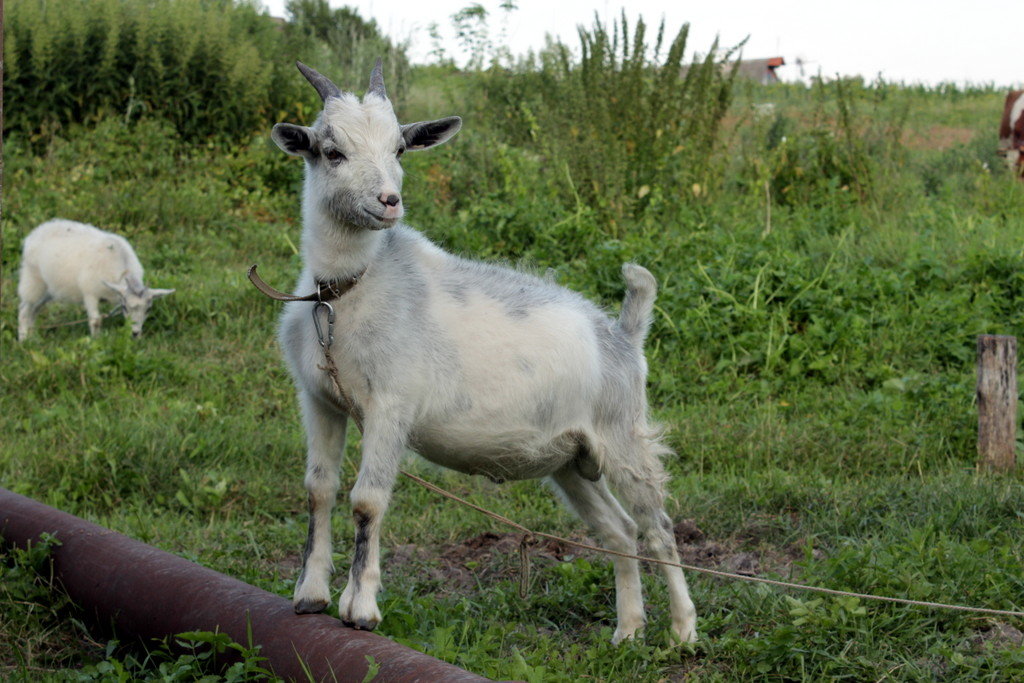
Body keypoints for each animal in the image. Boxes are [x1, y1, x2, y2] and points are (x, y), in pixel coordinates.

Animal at [18, 219, 175, 342]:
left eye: (148, 309)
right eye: (125, 307)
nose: (135, 333)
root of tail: (36, 232)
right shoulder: (90, 294)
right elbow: (95, 321)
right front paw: (96, 343)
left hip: (49, 288)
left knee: (35, 309)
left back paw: (33, 337)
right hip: (33, 279)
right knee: (25, 310)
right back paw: (24, 339)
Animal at [270, 61, 696, 643]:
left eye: (400, 147)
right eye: (331, 151)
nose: (388, 201)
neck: (345, 292)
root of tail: (624, 335)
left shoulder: (391, 406)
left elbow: (366, 500)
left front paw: (360, 609)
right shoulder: (319, 400)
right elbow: (318, 489)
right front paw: (309, 596)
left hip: (623, 435)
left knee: (659, 526)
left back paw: (683, 631)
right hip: (571, 459)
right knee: (620, 530)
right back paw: (628, 631)